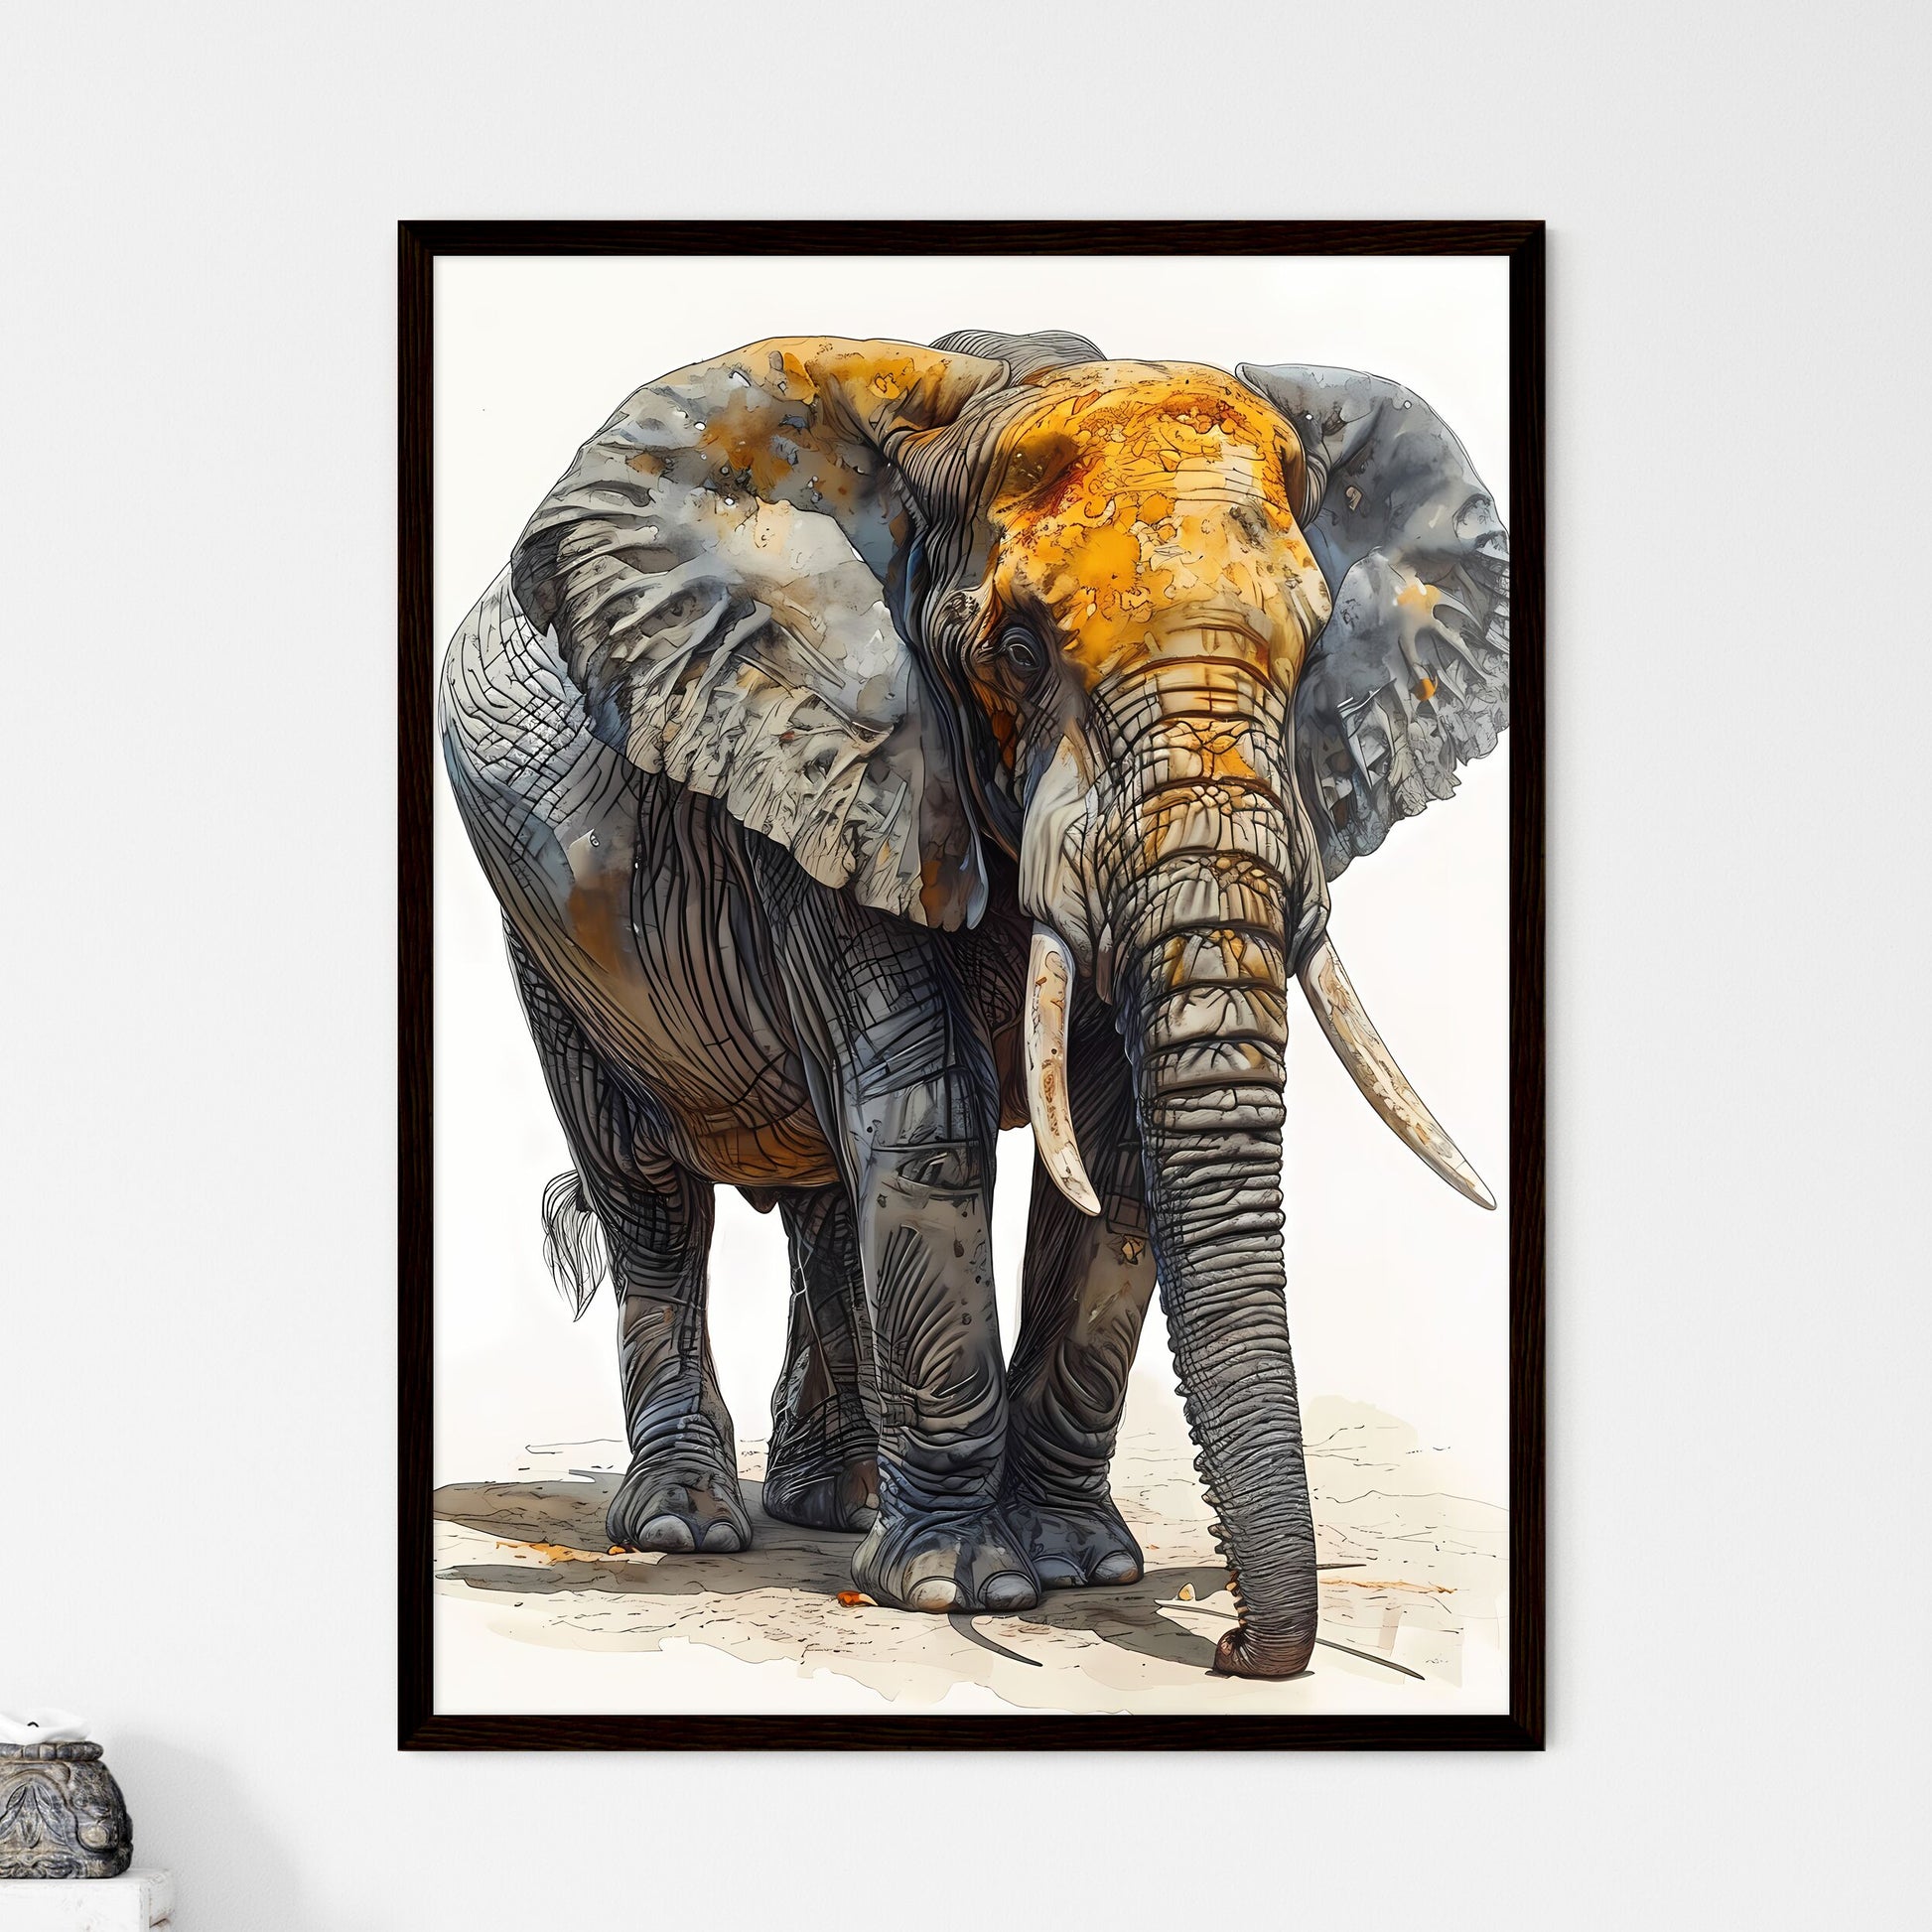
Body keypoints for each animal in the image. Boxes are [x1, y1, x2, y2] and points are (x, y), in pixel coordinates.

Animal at [441, 325, 1508, 1678]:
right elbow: (928, 1122)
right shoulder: (839, 768)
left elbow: (1109, 1154)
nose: (1229, 1648)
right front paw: (965, 1587)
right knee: (646, 1190)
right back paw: (689, 1525)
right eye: (1018, 653)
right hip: (547, 932)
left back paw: (834, 1505)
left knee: (820, 1203)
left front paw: (1078, 1567)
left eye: (1311, 645)